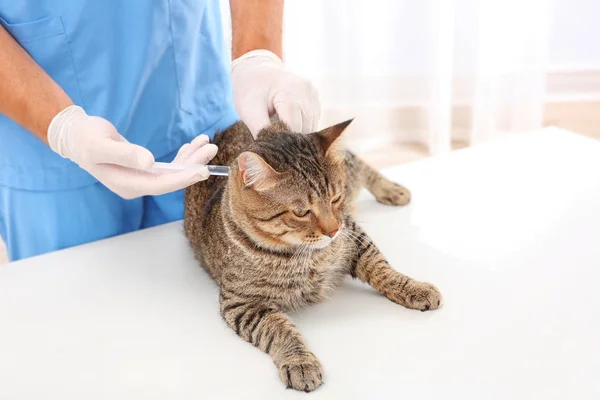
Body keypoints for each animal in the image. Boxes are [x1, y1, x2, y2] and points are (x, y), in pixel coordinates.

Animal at [185, 120, 442, 392]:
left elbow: (382, 269)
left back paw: (391, 188)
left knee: (358, 163)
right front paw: (300, 361)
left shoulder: (353, 235)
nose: (333, 230)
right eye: (301, 212)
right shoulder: (242, 303)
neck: (302, 255)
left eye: (335, 198)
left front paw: (415, 288)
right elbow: (279, 329)